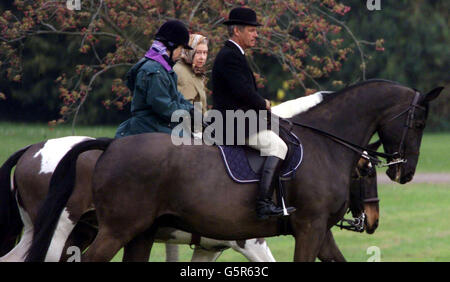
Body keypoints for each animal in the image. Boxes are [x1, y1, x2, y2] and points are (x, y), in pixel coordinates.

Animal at [25, 79, 442, 262]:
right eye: (419, 122)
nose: (404, 173)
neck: (325, 143)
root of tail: (111, 144)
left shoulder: (319, 232)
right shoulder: (308, 230)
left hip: (139, 233)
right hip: (114, 229)